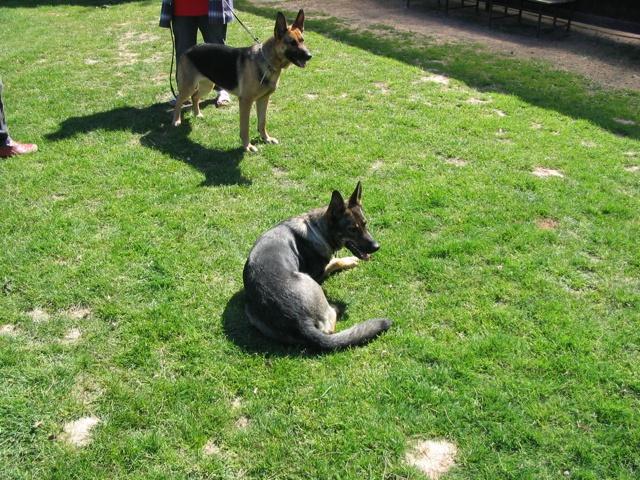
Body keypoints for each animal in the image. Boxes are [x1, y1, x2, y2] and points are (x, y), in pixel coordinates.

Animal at [172, 9, 312, 152]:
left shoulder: (263, 99)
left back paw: (197, 114)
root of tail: (188, 50)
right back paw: (176, 121)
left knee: (195, 97)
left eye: (302, 40)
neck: (267, 61)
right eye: (292, 42)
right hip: (188, 86)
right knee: (179, 101)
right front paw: (247, 146)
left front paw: (266, 138)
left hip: (207, 86)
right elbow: (245, 127)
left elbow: (262, 122)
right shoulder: (246, 101)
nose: (309, 56)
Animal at [243, 182, 392, 350]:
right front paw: (348, 260)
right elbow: (333, 260)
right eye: (352, 229)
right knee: (329, 327)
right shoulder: (319, 272)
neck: (319, 229)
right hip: (310, 281)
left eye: (365, 224)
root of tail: (300, 323)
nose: (376, 247)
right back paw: (336, 308)